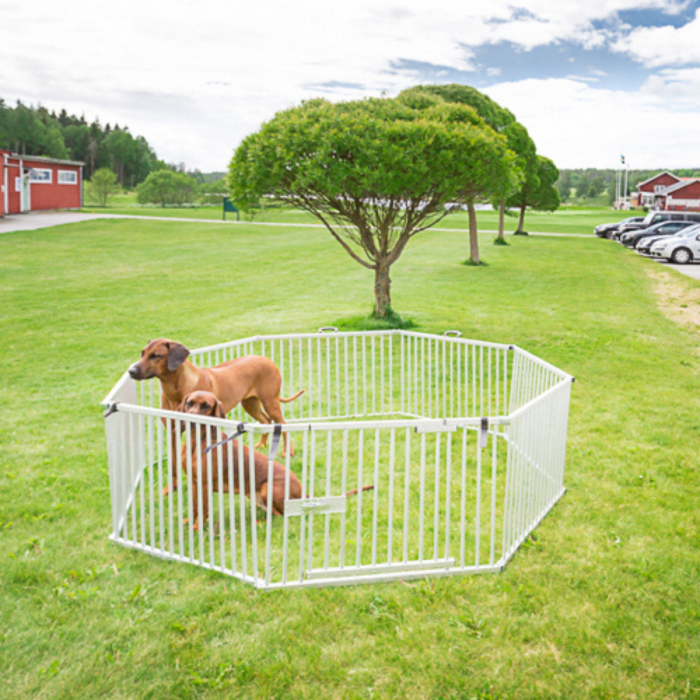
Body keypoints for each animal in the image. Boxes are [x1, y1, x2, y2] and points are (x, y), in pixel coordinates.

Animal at [176, 394, 372, 532]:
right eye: (189, 403)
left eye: (206, 406)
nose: (189, 416)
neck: (197, 442)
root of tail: (302, 492)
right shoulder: (194, 482)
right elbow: (195, 508)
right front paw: (188, 522)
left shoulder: (204, 484)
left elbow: (202, 510)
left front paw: (196, 529)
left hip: (267, 487)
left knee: (280, 516)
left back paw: (257, 523)